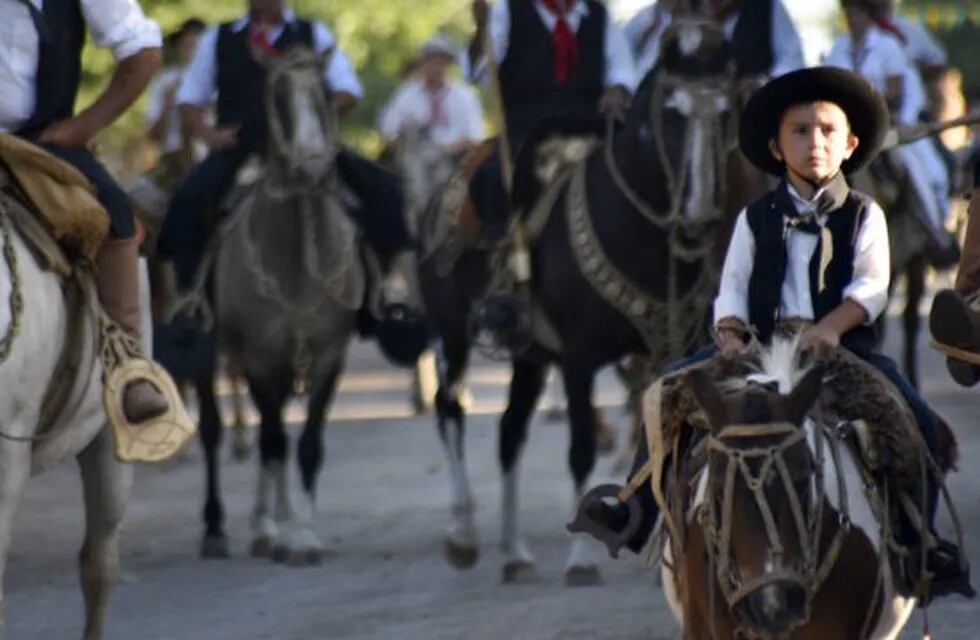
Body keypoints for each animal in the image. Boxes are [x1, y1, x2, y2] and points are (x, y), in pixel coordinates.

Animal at [418, 20, 748, 584]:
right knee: (450, 409)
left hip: (528, 359)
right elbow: (581, 449)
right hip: (455, 334)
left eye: (726, 112)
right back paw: (463, 534)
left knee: (509, 431)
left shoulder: (670, 349)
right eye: (670, 118)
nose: (699, 218)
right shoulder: (578, 359)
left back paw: (516, 553)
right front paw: (581, 559)